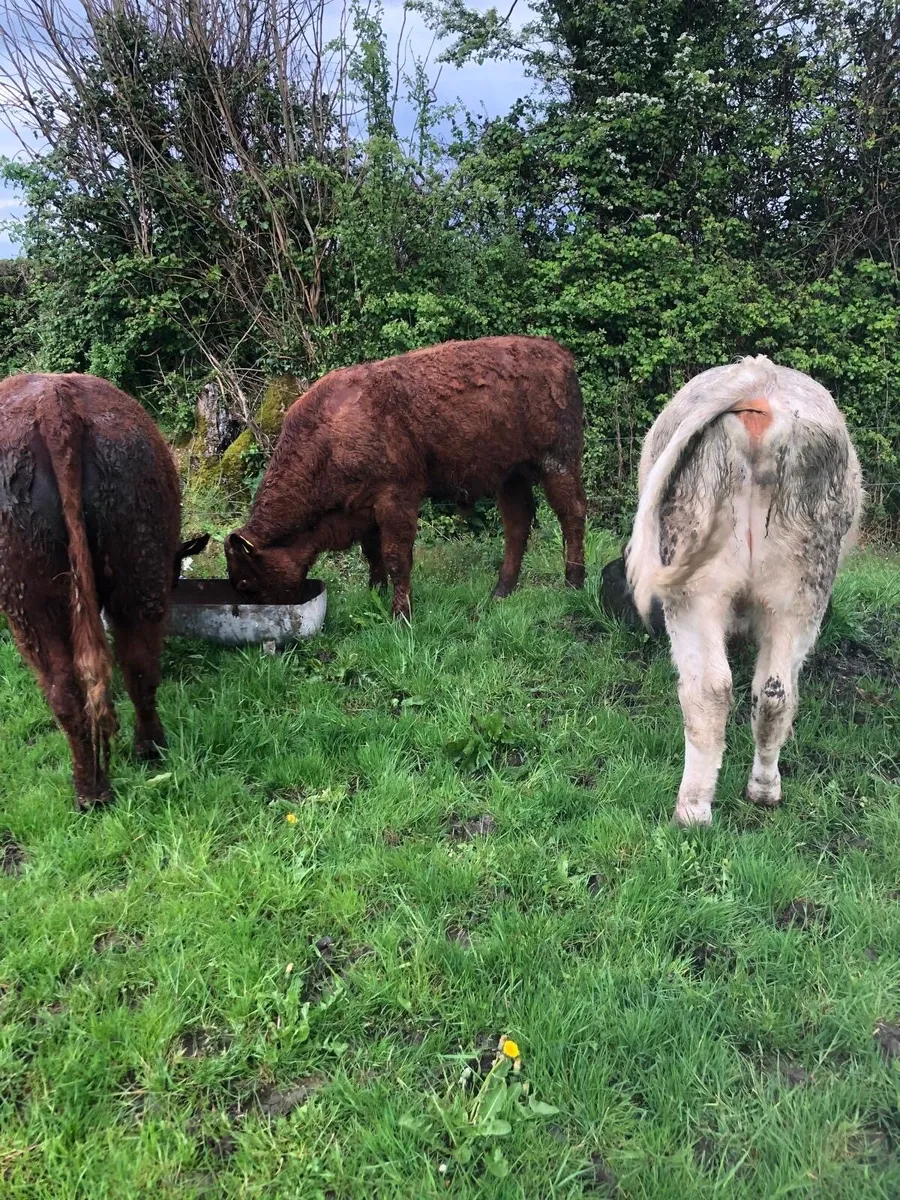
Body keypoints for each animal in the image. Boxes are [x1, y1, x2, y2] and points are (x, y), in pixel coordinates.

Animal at [0, 373, 208, 807]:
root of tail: (55, 404)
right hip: (137, 567)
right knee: (136, 667)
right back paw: (145, 754)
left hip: (29, 605)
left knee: (66, 689)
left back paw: (90, 790)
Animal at [225, 336, 586, 619]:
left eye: (244, 581)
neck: (328, 436)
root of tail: (560, 355)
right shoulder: (364, 508)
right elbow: (372, 555)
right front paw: (376, 594)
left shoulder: (395, 499)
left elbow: (396, 557)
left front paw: (401, 616)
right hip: (511, 474)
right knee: (517, 524)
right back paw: (501, 591)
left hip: (558, 462)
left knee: (572, 515)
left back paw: (573, 584)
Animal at [625, 356, 862, 826]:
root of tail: (759, 380)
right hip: (793, 591)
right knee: (762, 692)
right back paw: (749, 794)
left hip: (709, 587)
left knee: (725, 691)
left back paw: (705, 806)